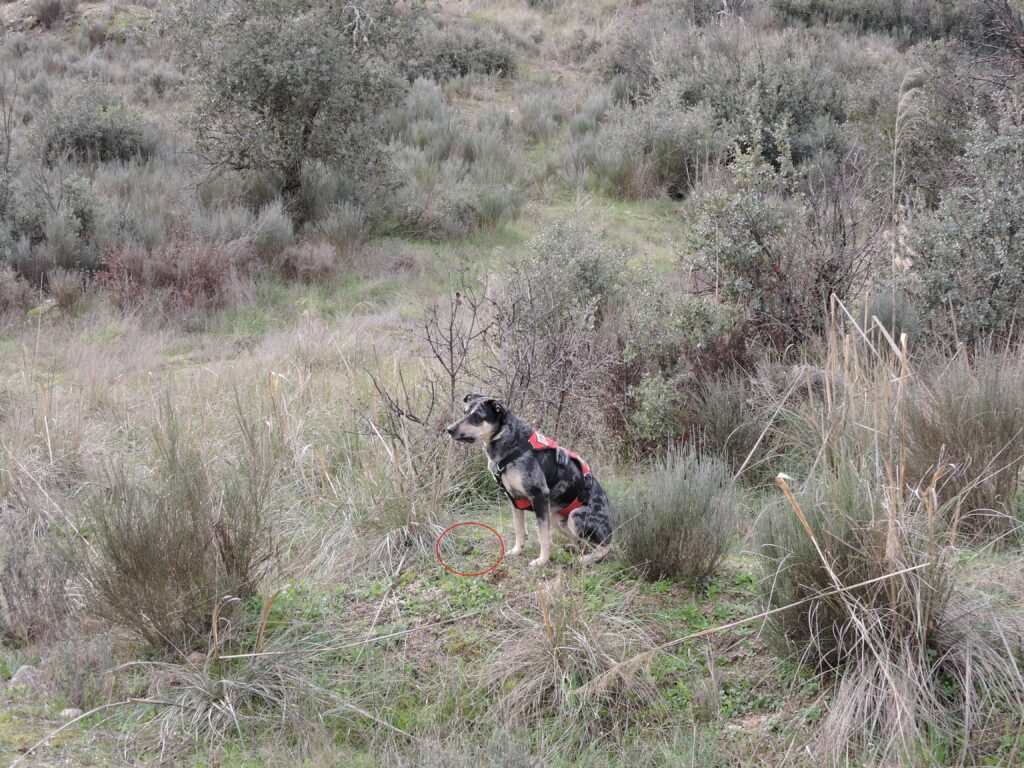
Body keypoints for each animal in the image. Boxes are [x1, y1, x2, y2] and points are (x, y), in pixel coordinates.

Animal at [446, 394, 611, 567]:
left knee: (605, 546)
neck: (509, 441)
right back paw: (571, 549)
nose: (449, 429)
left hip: (575, 515)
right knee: (582, 543)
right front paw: (517, 551)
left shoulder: (539, 496)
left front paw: (542, 561)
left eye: (477, 416)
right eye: (464, 412)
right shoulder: (515, 499)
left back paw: (586, 558)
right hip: (555, 517)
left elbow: (543, 537)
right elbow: (520, 530)